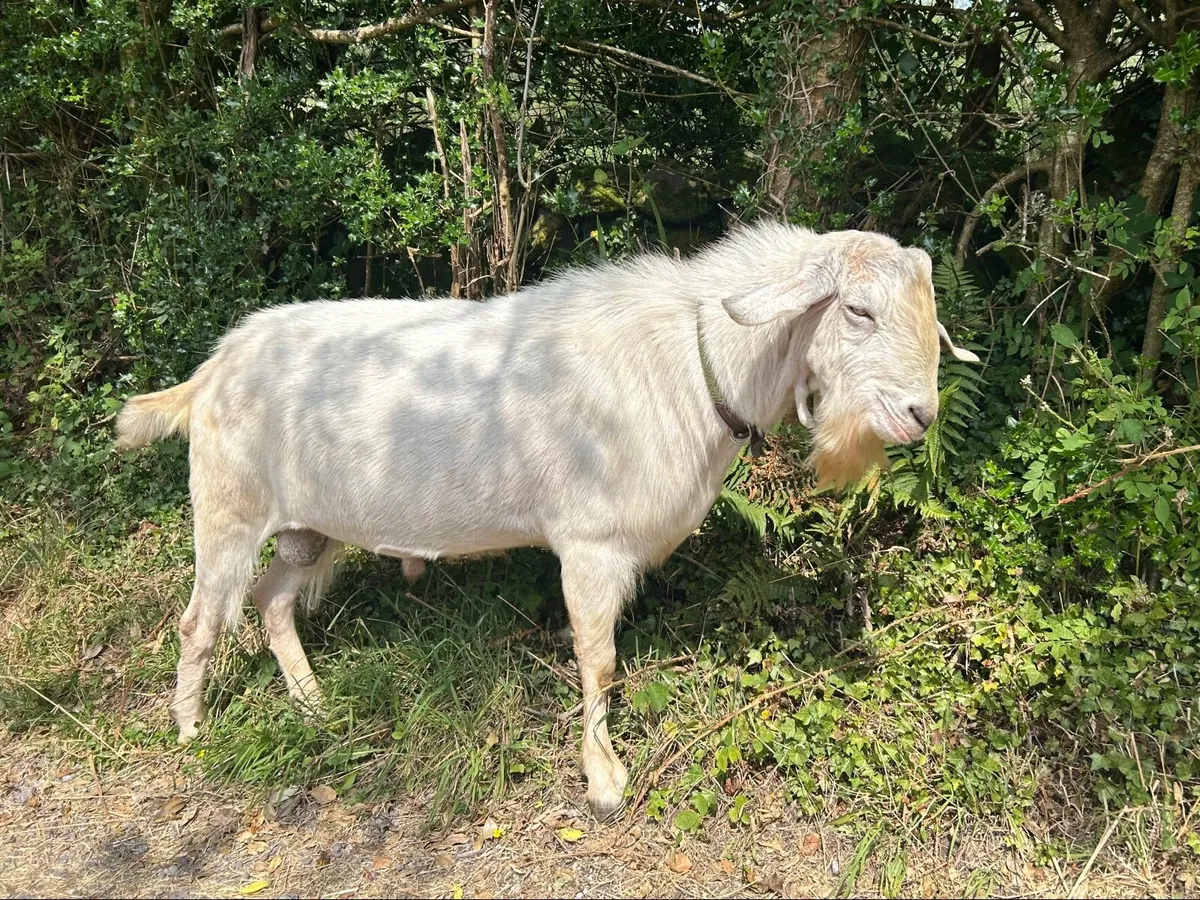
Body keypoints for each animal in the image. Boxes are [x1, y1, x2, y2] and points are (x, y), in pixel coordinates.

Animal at [116, 221, 978, 820]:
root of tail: (212, 369)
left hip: (307, 528)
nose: (919, 414)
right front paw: (603, 780)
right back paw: (191, 728)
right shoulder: (590, 546)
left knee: (271, 601)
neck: (693, 363)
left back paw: (312, 704)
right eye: (858, 311)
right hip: (228, 509)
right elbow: (599, 660)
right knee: (199, 621)